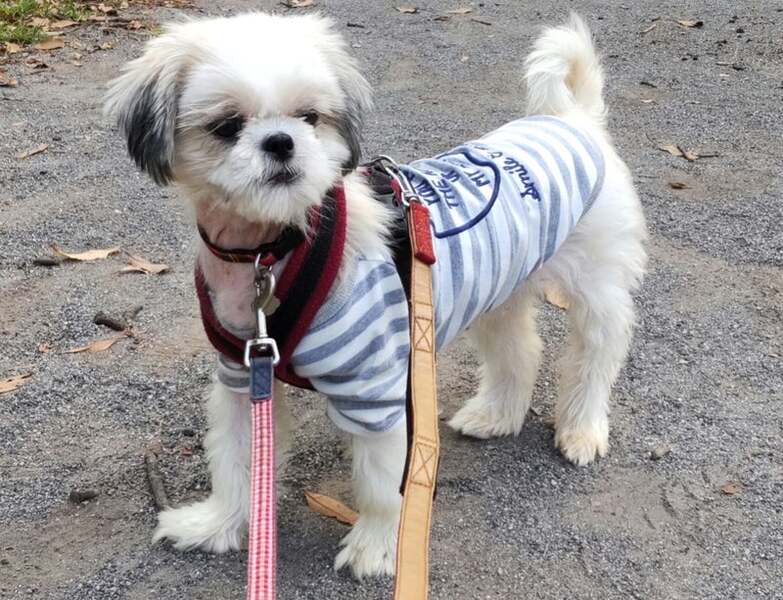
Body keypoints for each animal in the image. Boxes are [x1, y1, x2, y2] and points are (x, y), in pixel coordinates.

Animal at [104, 12, 646, 579]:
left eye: (309, 117)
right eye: (227, 125)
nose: (281, 141)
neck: (280, 250)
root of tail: (570, 119)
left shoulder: (376, 392)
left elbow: (385, 485)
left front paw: (378, 546)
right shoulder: (243, 376)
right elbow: (235, 464)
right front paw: (216, 524)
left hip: (595, 287)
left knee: (596, 356)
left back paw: (582, 429)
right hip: (502, 288)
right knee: (520, 351)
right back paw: (495, 415)